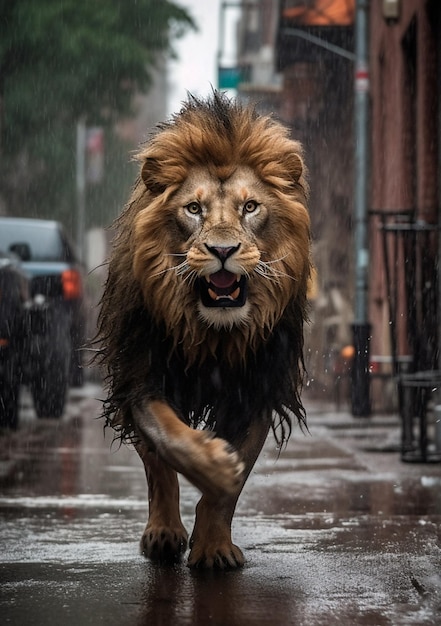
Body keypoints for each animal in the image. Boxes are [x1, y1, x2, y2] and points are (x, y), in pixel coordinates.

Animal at [96, 91, 310, 564]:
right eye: (193, 209)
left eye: (250, 207)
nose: (223, 250)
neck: (213, 334)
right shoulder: (141, 375)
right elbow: (168, 443)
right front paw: (213, 468)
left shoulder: (257, 387)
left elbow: (232, 485)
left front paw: (214, 545)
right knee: (155, 463)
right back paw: (163, 533)